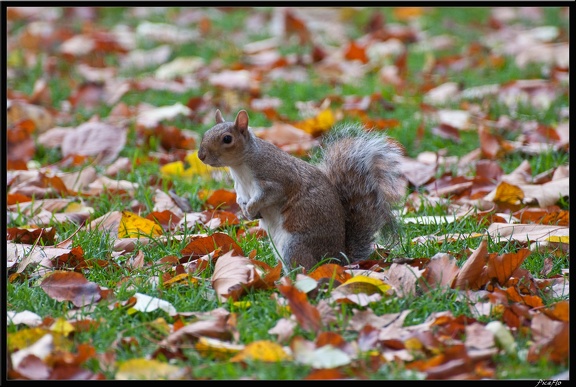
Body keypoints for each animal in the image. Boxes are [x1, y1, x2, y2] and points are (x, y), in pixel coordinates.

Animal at [198, 109, 404, 272]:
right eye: (205, 133)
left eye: (227, 139)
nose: (201, 155)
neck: (239, 167)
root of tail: (339, 259)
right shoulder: (240, 188)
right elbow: (241, 198)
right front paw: (245, 210)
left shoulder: (276, 180)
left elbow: (267, 195)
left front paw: (250, 209)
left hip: (296, 245)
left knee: (305, 268)